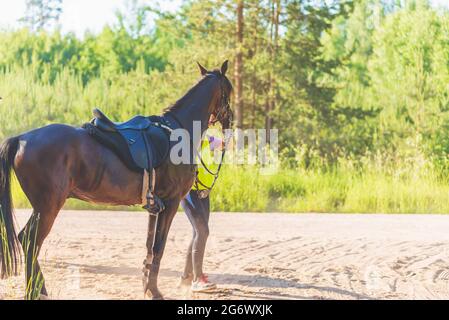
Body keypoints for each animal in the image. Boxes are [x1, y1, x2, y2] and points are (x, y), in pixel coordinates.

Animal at [0, 60, 231, 300]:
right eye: (229, 90)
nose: (229, 120)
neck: (177, 132)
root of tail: (22, 138)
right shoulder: (171, 202)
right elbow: (158, 247)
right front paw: (154, 290)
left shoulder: (155, 206)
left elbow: (149, 248)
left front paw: (147, 286)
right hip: (47, 207)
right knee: (30, 241)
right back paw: (35, 290)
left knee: (28, 241)